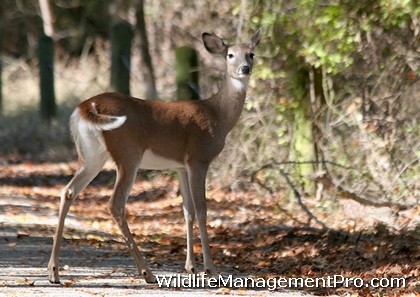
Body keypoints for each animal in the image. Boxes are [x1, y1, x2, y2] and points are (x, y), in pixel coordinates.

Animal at [47, 28, 260, 284]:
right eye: (230, 55)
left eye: (251, 53)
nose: (244, 68)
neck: (218, 115)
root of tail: (87, 107)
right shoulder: (198, 159)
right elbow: (201, 210)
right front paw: (211, 269)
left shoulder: (181, 166)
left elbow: (187, 211)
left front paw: (190, 267)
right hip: (128, 153)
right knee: (115, 203)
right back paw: (147, 272)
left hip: (91, 154)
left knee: (68, 191)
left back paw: (54, 272)